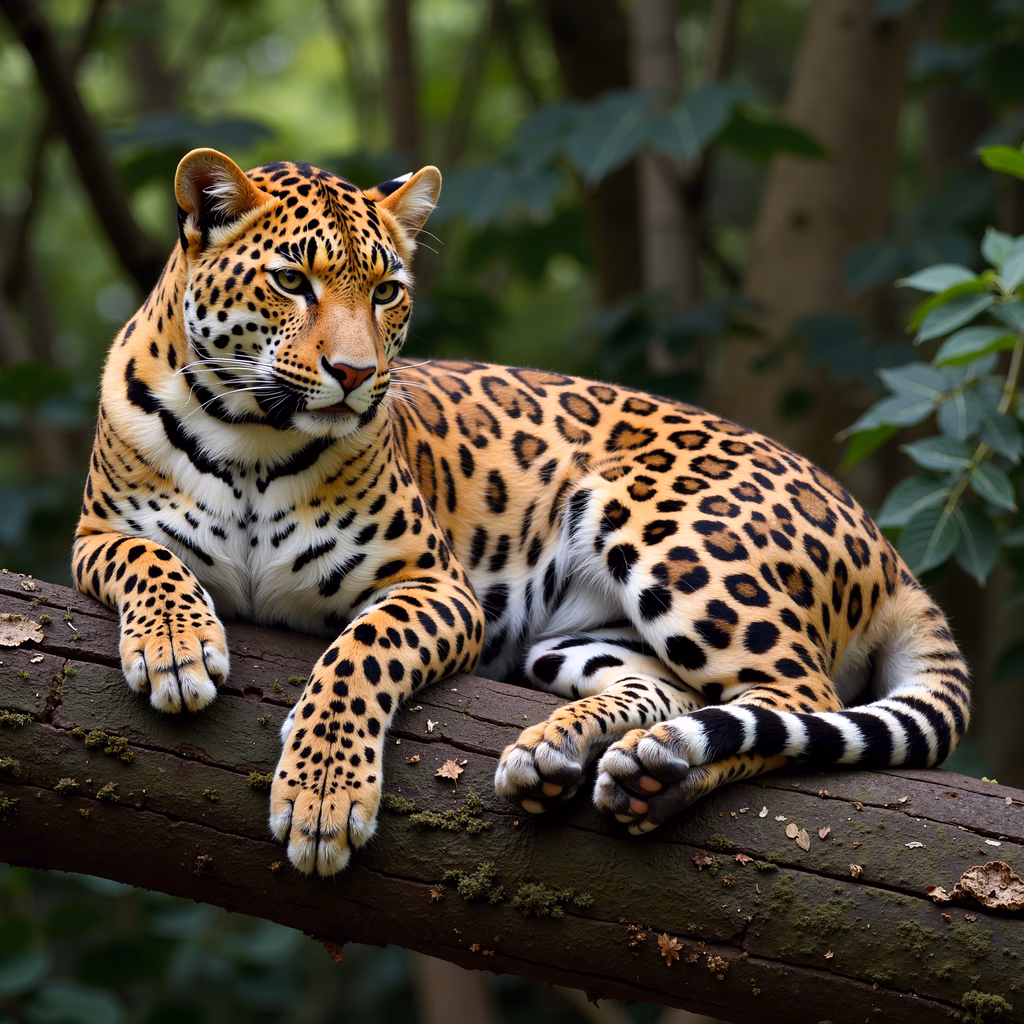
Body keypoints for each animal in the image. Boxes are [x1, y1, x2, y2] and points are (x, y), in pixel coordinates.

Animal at [74, 148, 971, 878]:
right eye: (292, 280)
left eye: (387, 292)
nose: (356, 374)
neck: (256, 435)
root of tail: (886, 545)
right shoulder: (95, 535)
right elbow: (149, 560)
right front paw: (176, 648)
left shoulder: (436, 585)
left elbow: (360, 654)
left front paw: (323, 794)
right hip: (569, 640)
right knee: (673, 689)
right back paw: (582, 759)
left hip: (669, 533)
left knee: (801, 699)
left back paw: (645, 765)